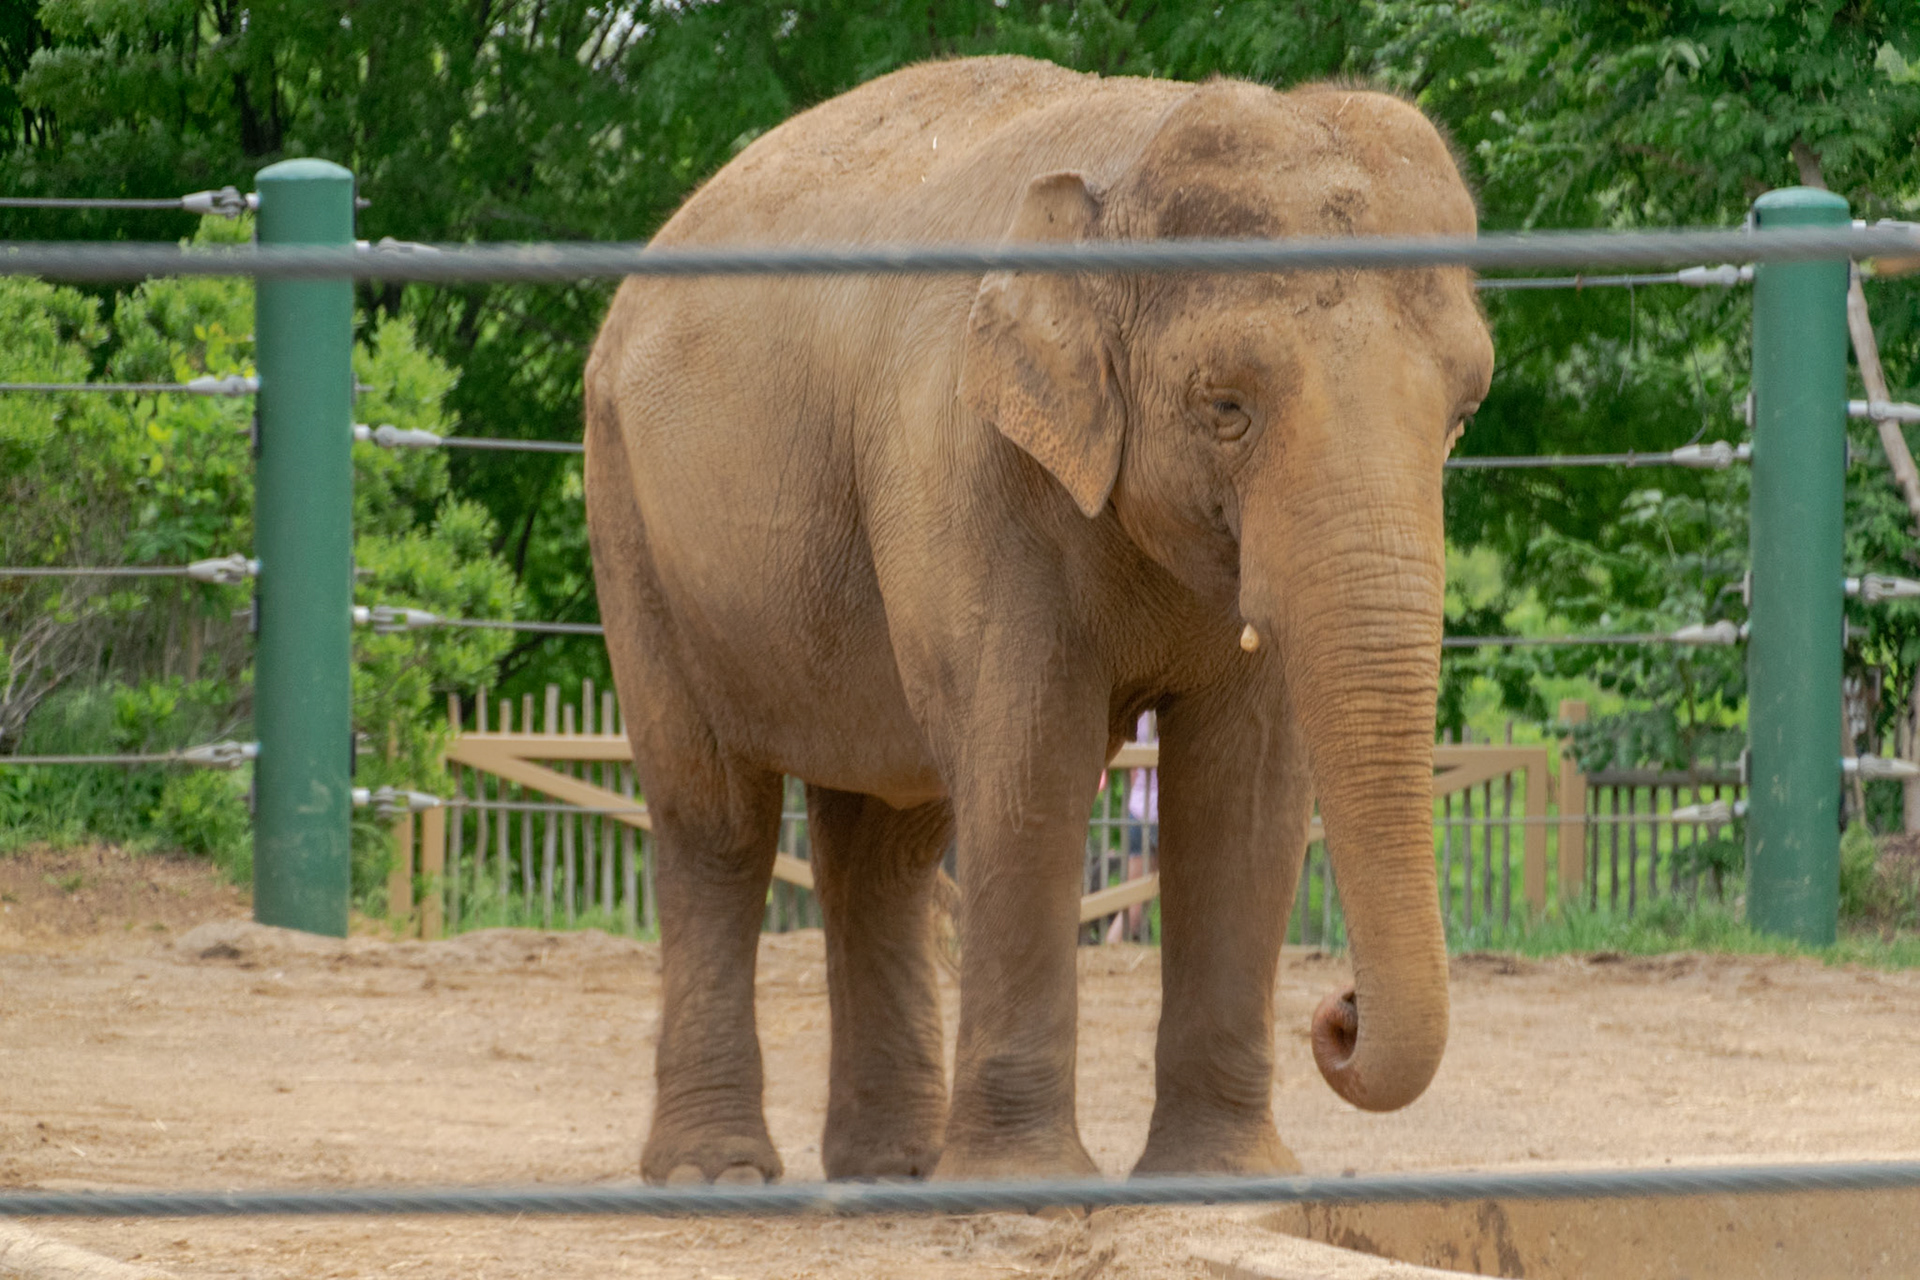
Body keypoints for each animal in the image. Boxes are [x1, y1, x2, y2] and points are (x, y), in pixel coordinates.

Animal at [583, 54, 1492, 1184]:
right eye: (1225, 406)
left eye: (1463, 414)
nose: (1341, 1011)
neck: (1129, 154)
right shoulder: (969, 462)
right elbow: (1032, 755)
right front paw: (1033, 1186)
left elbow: (1245, 790)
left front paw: (1219, 1179)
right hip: (632, 517)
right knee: (716, 821)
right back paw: (720, 1171)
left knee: (883, 842)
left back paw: (896, 1169)